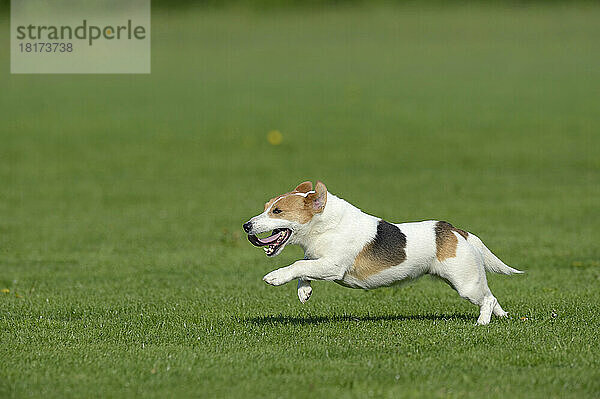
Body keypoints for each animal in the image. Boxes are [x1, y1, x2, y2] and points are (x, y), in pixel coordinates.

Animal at [241, 181, 524, 324]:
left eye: (277, 211)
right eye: (266, 207)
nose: (247, 226)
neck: (325, 224)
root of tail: (455, 230)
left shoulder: (332, 266)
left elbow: (298, 265)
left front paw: (275, 277)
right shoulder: (318, 259)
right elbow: (304, 266)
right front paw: (304, 291)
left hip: (465, 283)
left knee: (487, 300)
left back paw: (482, 322)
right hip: (470, 280)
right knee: (492, 297)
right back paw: (502, 316)